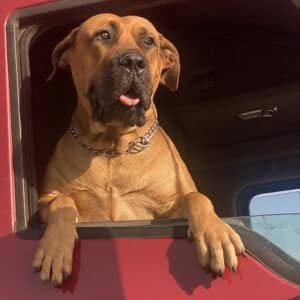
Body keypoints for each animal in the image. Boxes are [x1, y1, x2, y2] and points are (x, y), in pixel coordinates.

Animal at [32, 12, 244, 286]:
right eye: (104, 35)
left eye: (148, 41)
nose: (133, 61)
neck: (112, 148)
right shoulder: (45, 200)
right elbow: (63, 202)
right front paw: (55, 249)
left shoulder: (168, 207)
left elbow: (196, 197)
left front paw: (215, 233)